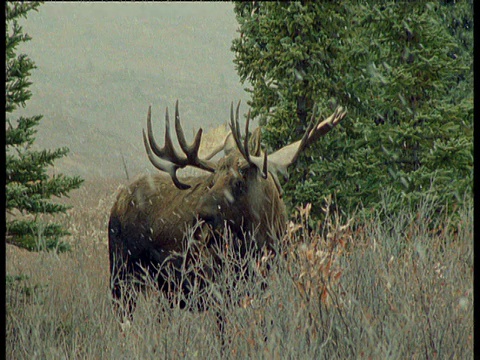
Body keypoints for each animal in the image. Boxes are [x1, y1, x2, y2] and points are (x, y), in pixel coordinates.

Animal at [108, 100, 344, 320]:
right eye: (212, 182)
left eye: (239, 182)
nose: (200, 213)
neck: (263, 238)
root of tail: (118, 199)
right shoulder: (219, 288)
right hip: (120, 275)